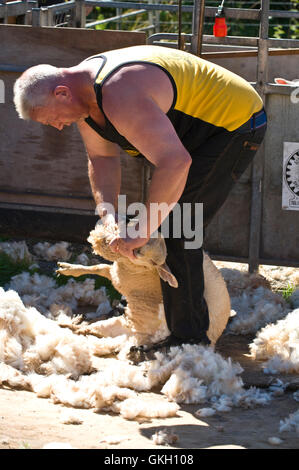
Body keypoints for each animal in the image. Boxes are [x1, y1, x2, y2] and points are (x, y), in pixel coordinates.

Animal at [57, 218, 233, 346]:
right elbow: (97, 267)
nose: (138, 251)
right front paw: (66, 269)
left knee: (86, 329)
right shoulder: (114, 274)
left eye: (154, 262)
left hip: (119, 325)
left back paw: (69, 325)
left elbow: (99, 268)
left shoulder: (120, 281)